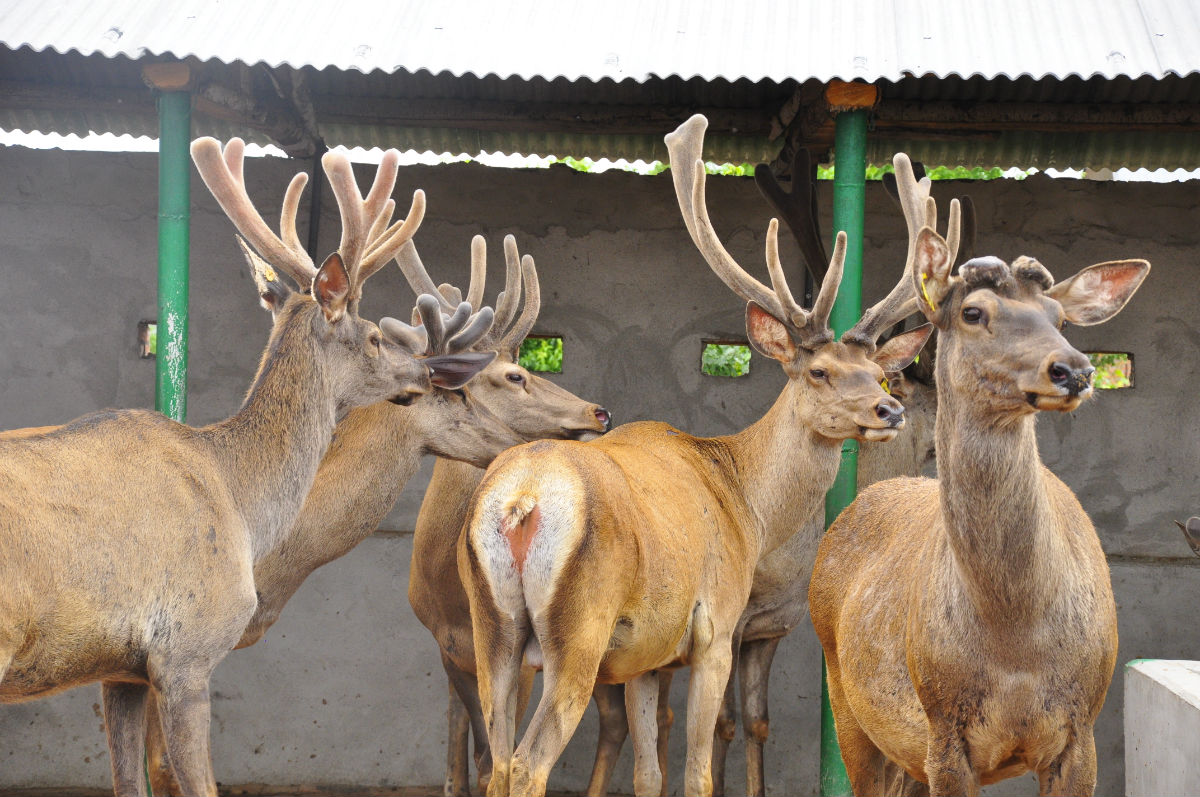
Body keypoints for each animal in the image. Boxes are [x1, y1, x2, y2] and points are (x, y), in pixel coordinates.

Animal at [456, 113, 932, 797]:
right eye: (818, 371)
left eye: (878, 373)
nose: (889, 411)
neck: (746, 505)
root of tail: (518, 502)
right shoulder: (716, 629)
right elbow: (698, 773)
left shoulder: (647, 656)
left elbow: (650, 773)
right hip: (578, 630)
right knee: (526, 762)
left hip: (491, 624)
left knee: (496, 758)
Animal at [808, 213, 1150, 794]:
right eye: (973, 312)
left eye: (1060, 317)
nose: (1075, 370)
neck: (1015, 644)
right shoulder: (944, 732)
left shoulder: (1083, 730)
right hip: (847, 704)